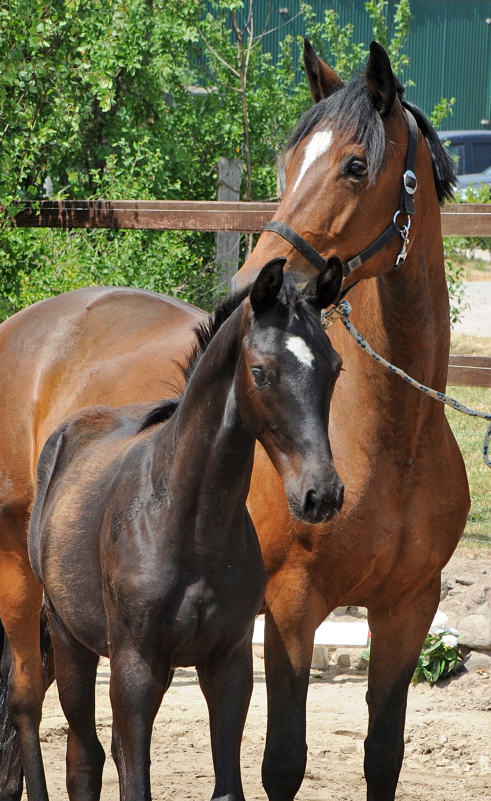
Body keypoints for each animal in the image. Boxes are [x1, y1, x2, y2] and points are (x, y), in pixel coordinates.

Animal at [26, 258, 342, 800]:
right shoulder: (135, 669)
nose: (321, 495)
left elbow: (225, 786)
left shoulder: (229, 664)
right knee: (84, 759)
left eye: (336, 367)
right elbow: (133, 781)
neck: (191, 529)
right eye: (260, 371)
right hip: (71, 644)